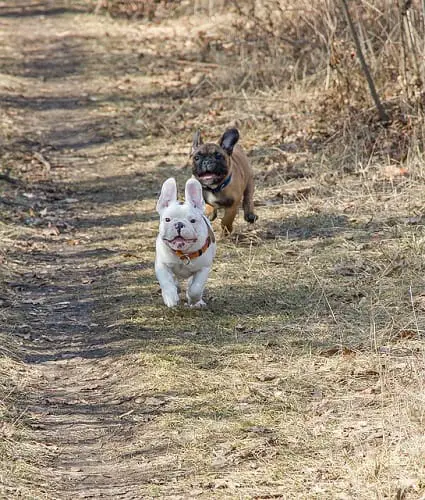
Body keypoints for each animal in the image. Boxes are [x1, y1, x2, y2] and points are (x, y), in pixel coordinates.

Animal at [155, 176, 217, 308]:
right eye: (167, 219)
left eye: (192, 220)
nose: (179, 224)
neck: (183, 254)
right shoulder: (161, 265)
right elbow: (166, 282)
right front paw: (170, 297)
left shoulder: (203, 268)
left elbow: (196, 288)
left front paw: (193, 300)